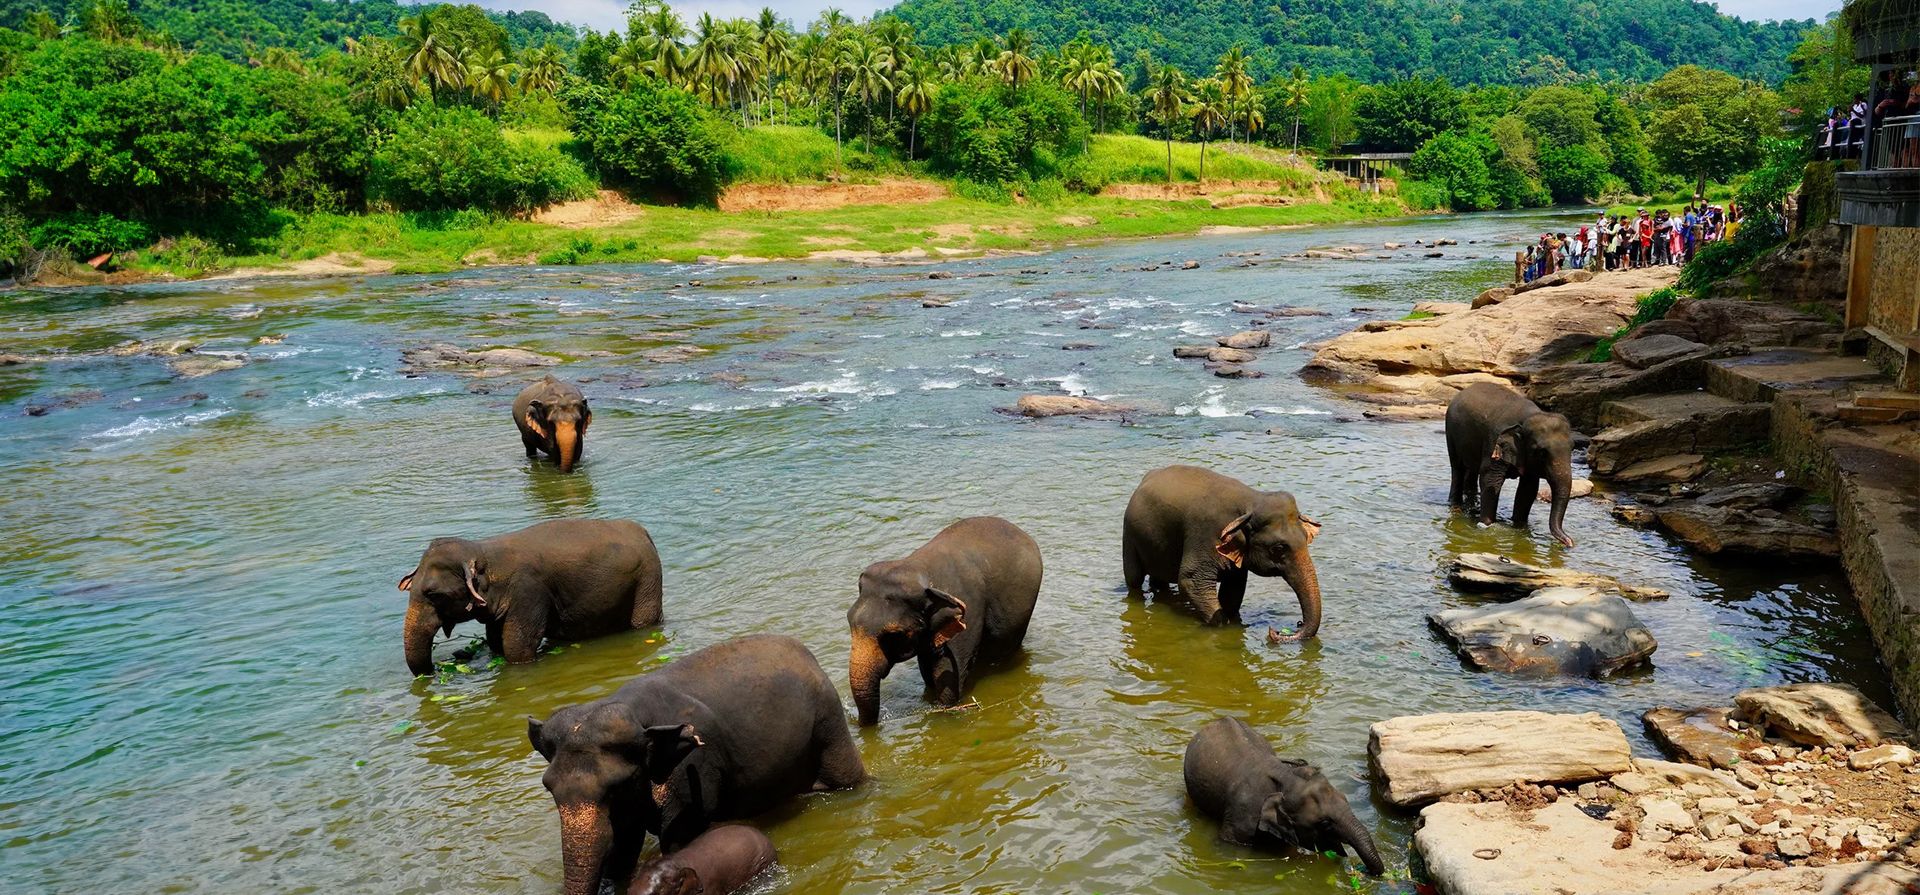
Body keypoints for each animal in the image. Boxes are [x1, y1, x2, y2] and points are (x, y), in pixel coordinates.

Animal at [398, 518, 662, 676]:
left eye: (433, 594)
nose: (435, 670)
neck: (483, 551)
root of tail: (643, 531)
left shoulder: (529, 591)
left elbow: (516, 647)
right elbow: (495, 642)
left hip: (648, 579)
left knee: (643, 623)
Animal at [847, 516, 1042, 726]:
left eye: (895, 634)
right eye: (849, 620)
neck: (918, 568)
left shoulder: (969, 611)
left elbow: (948, 670)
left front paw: (943, 708)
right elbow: (927, 667)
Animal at [1121, 465, 1324, 637]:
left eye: (1307, 538)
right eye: (1279, 548)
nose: (1279, 630)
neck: (1250, 500)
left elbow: (1234, 588)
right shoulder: (1204, 535)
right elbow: (1191, 580)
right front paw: (1222, 625)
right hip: (1129, 535)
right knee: (1134, 578)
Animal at [1445, 382, 1576, 547]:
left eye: (1573, 447)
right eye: (1542, 452)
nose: (1570, 542)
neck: (1529, 416)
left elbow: (1528, 489)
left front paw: (1520, 527)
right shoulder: (1494, 440)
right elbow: (1491, 480)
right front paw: (1486, 525)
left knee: (1471, 471)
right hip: (1450, 432)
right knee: (1457, 468)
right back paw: (1455, 507)